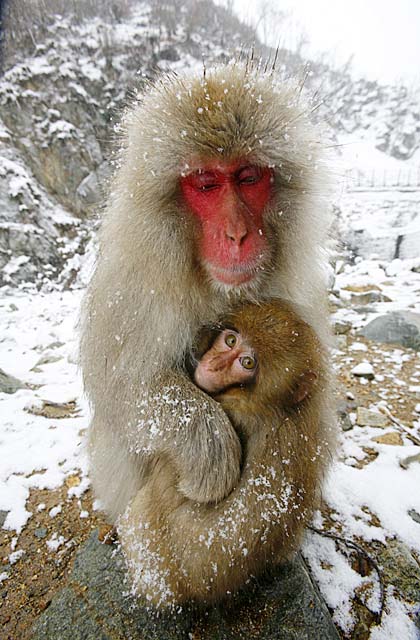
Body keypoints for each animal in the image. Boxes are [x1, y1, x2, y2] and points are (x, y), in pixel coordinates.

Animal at [79, 62, 334, 608]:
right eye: (206, 183)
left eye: (249, 177)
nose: (237, 235)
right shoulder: (131, 283)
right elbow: (120, 386)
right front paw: (209, 454)